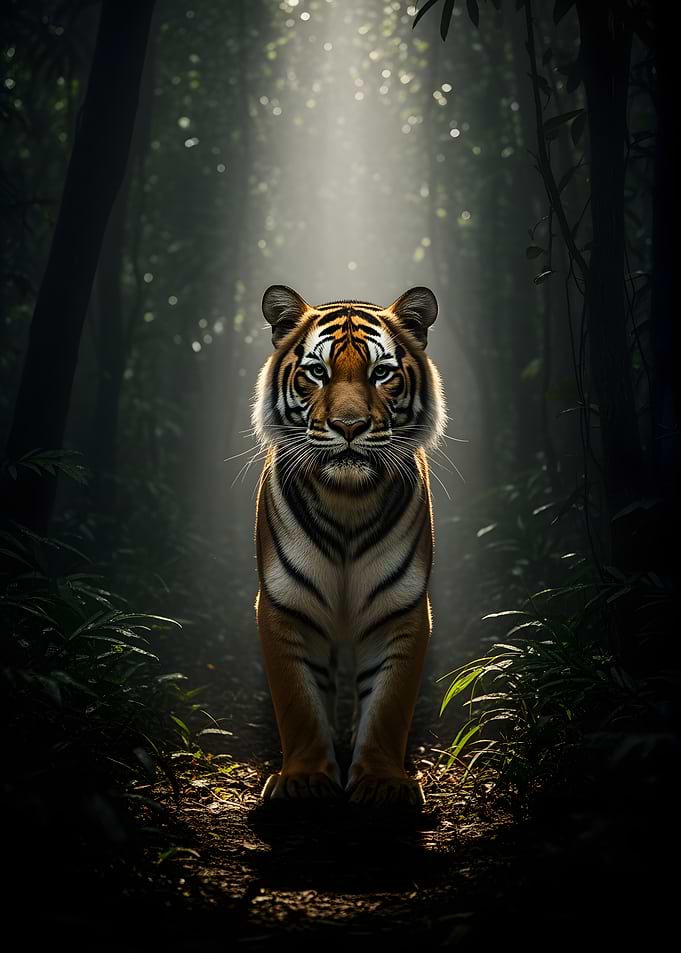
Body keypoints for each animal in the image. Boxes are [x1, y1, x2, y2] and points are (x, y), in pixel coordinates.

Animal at [252, 284, 446, 806]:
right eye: (317, 372)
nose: (349, 425)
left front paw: (382, 782)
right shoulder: (284, 605)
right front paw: (303, 779)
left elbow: (388, 706)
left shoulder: (401, 610)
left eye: (381, 373)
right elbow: (298, 703)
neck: (346, 501)